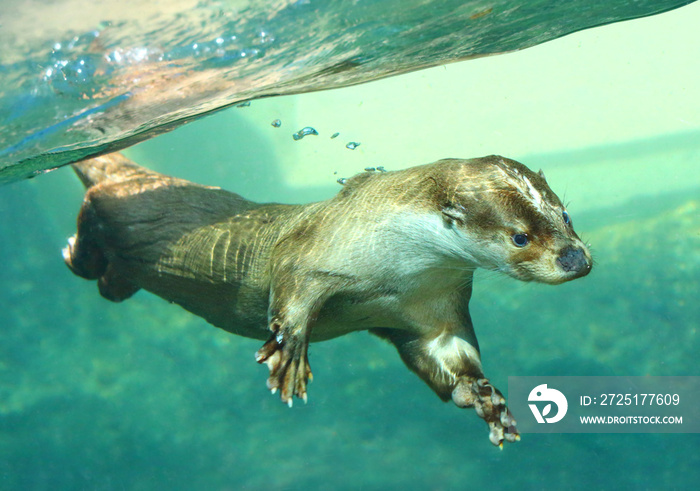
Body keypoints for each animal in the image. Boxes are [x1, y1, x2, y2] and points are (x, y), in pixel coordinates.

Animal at [64, 153, 592, 446]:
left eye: (565, 215)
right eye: (520, 237)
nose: (576, 259)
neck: (397, 254)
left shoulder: (432, 306)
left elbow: (447, 353)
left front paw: (487, 399)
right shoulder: (309, 253)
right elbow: (290, 292)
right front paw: (290, 356)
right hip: (108, 210)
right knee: (90, 229)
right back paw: (71, 251)